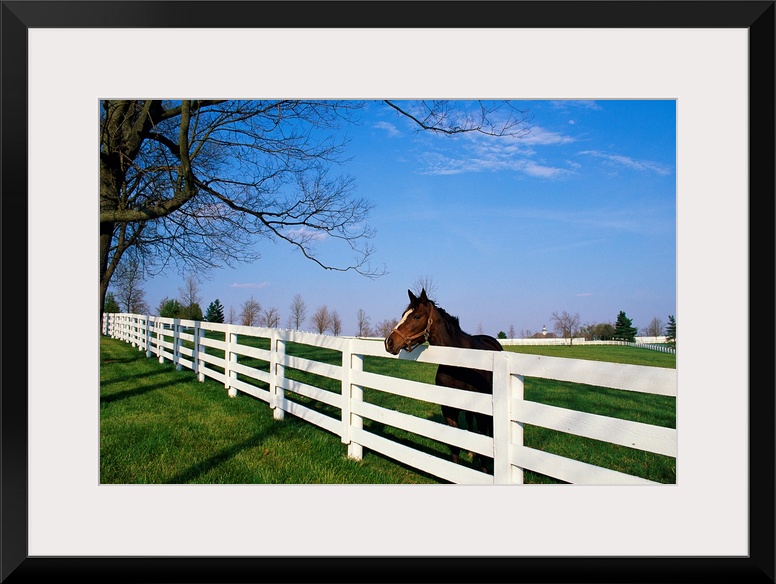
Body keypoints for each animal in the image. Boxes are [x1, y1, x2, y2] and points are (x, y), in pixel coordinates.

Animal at [383, 288, 503, 473]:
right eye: (404, 314)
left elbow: (482, 443)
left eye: (416, 316)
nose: (389, 342)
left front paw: (484, 469)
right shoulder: (449, 409)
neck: (459, 365)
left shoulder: (480, 410)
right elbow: (455, 445)